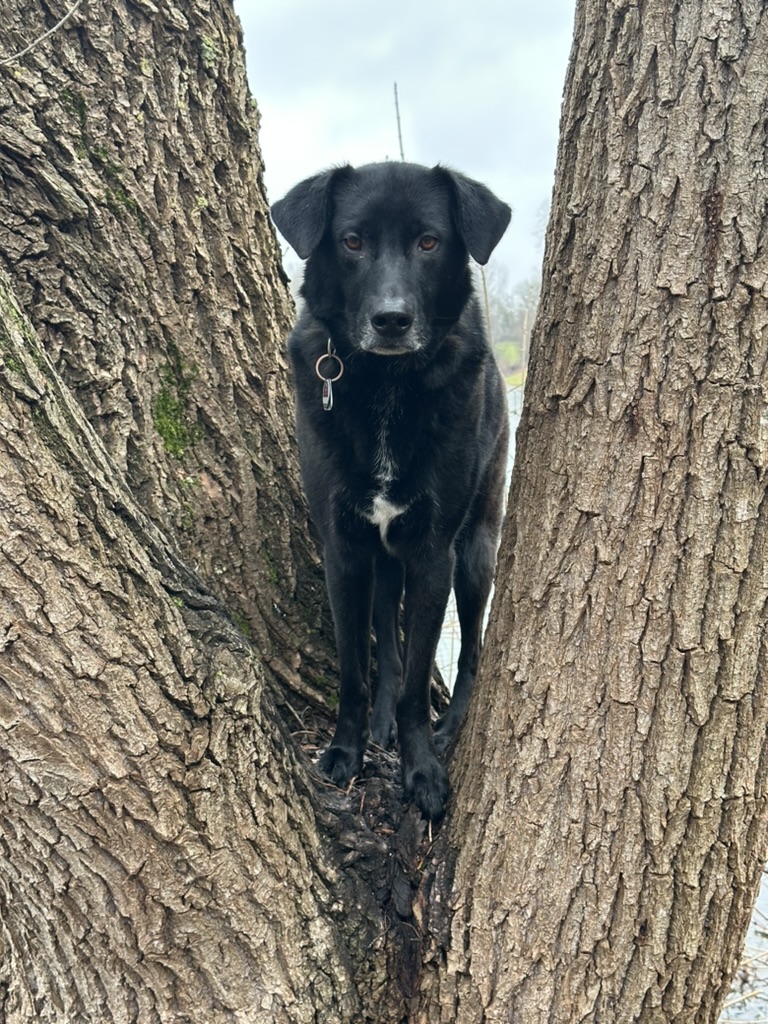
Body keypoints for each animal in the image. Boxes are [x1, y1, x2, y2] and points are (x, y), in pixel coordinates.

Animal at [272, 161, 510, 820]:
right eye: (352, 241)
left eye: (429, 241)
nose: (391, 320)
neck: (385, 381)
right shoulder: (345, 551)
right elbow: (359, 668)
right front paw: (345, 751)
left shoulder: (433, 556)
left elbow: (417, 684)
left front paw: (421, 768)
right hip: (383, 565)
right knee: (389, 646)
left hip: (475, 552)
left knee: (470, 650)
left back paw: (451, 725)